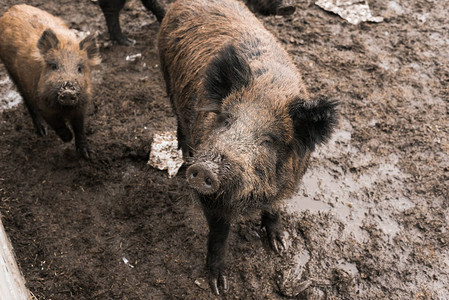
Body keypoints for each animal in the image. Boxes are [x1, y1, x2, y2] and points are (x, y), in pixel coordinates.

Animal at [0, 4, 100, 159]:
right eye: (54, 66)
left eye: (79, 68)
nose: (68, 90)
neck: (64, 108)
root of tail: (13, 8)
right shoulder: (42, 104)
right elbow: (57, 123)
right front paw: (67, 138)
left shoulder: (82, 105)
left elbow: (79, 128)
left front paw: (88, 155)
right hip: (13, 73)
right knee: (27, 101)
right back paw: (42, 132)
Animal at [158, 0, 336, 296]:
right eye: (226, 119)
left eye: (268, 140)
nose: (204, 168)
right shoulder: (211, 200)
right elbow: (219, 235)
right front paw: (219, 287)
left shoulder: (288, 183)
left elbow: (275, 209)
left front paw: (280, 246)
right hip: (167, 79)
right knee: (177, 119)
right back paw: (183, 153)